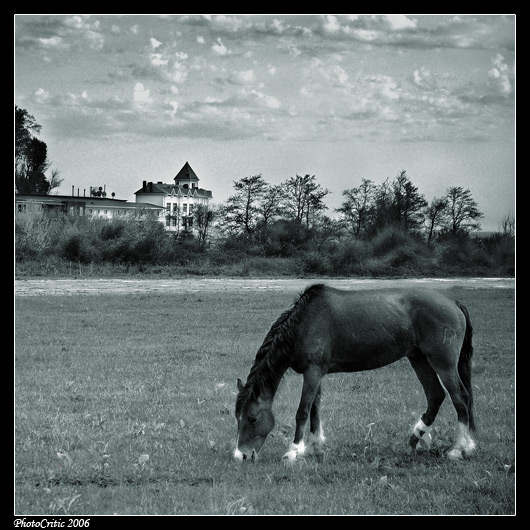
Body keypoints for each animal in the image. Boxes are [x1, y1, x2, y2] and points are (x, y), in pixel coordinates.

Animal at [233, 282, 472, 460]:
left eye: (252, 418)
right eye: (238, 417)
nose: (241, 455)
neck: (303, 326)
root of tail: (453, 302)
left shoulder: (313, 372)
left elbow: (303, 411)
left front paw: (294, 452)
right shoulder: (316, 373)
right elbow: (315, 410)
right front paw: (315, 446)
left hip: (443, 364)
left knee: (460, 399)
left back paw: (459, 449)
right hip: (419, 359)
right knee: (435, 396)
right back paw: (414, 440)